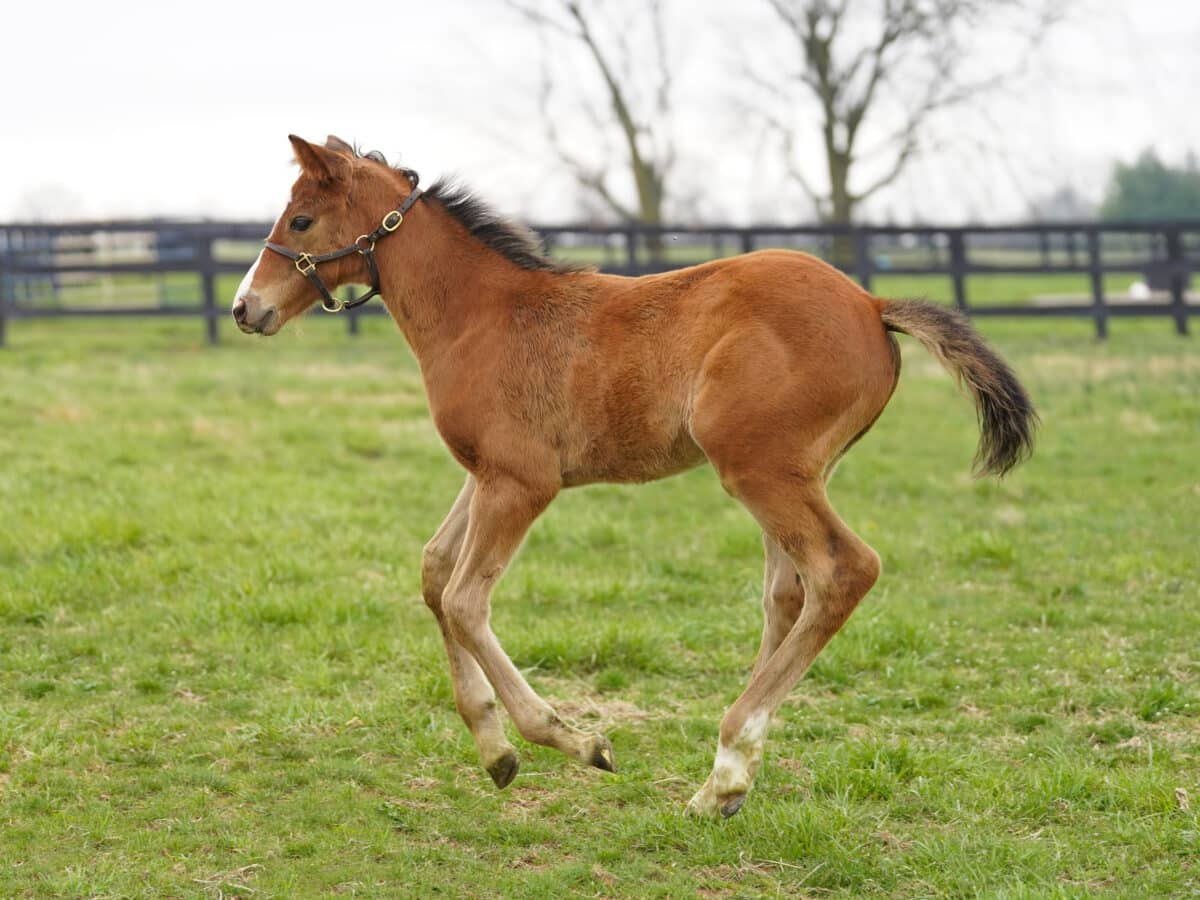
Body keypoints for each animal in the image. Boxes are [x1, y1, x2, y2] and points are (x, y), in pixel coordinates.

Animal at [234, 137, 1041, 820]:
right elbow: (435, 572)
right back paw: (728, 781)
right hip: (795, 473)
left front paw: (572, 740)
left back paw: (726, 764)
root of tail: (873, 304)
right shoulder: (486, 472)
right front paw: (495, 753)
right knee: (789, 592)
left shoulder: (522, 482)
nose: (246, 307)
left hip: (758, 468)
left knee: (844, 569)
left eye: (301, 218)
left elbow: (464, 600)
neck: (482, 315)